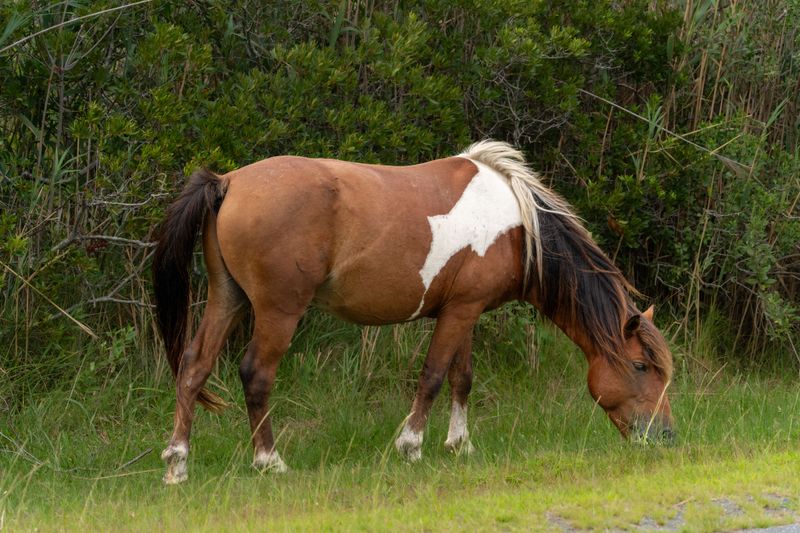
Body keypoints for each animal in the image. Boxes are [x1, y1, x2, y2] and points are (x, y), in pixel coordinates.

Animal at [153, 140, 674, 484]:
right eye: (641, 366)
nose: (664, 436)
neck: (518, 227)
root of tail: (228, 182)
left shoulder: (465, 310)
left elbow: (462, 378)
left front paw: (460, 445)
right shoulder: (459, 313)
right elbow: (433, 376)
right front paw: (412, 446)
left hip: (227, 298)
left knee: (194, 367)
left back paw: (178, 464)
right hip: (278, 311)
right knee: (256, 375)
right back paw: (270, 461)